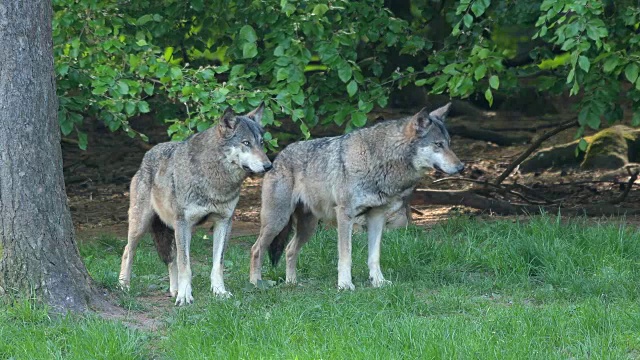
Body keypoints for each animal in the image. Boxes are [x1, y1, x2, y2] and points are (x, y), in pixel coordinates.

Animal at [119, 102, 272, 306]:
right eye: (246, 143)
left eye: (261, 143)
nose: (269, 166)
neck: (215, 178)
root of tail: (147, 154)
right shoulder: (184, 223)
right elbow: (186, 265)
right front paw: (185, 296)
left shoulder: (224, 222)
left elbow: (217, 264)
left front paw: (219, 292)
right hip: (143, 225)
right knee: (128, 250)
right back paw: (124, 286)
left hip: (176, 229)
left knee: (172, 259)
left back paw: (174, 290)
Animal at [248, 102, 462, 292]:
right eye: (438, 145)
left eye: (450, 144)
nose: (461, 167)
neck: (380, 160)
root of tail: (277, 157)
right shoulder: (345, 215)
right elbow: (346, 256)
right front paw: (344, 285)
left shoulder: (377, 217)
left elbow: (374, 256)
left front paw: (378, 282)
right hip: (277, 221)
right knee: (256, 249)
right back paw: (256, 283)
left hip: (308, 228)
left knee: (290, 249)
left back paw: (292, 283)